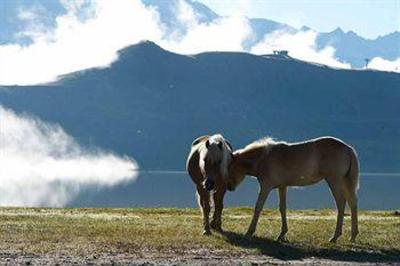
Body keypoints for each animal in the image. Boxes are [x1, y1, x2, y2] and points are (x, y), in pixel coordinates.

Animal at [225, 137, 360, 243]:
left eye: (230, 168)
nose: (229, 187)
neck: (264, 158)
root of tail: (348, 148)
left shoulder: (266, 187)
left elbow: (258, 207)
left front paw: (249, 232)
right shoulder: (282, 187)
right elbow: (282, 208)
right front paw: (282, 234)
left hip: (334, 181)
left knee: (341, 203)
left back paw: (335, 236)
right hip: (345, 182)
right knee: (352, 203)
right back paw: (353, 235)